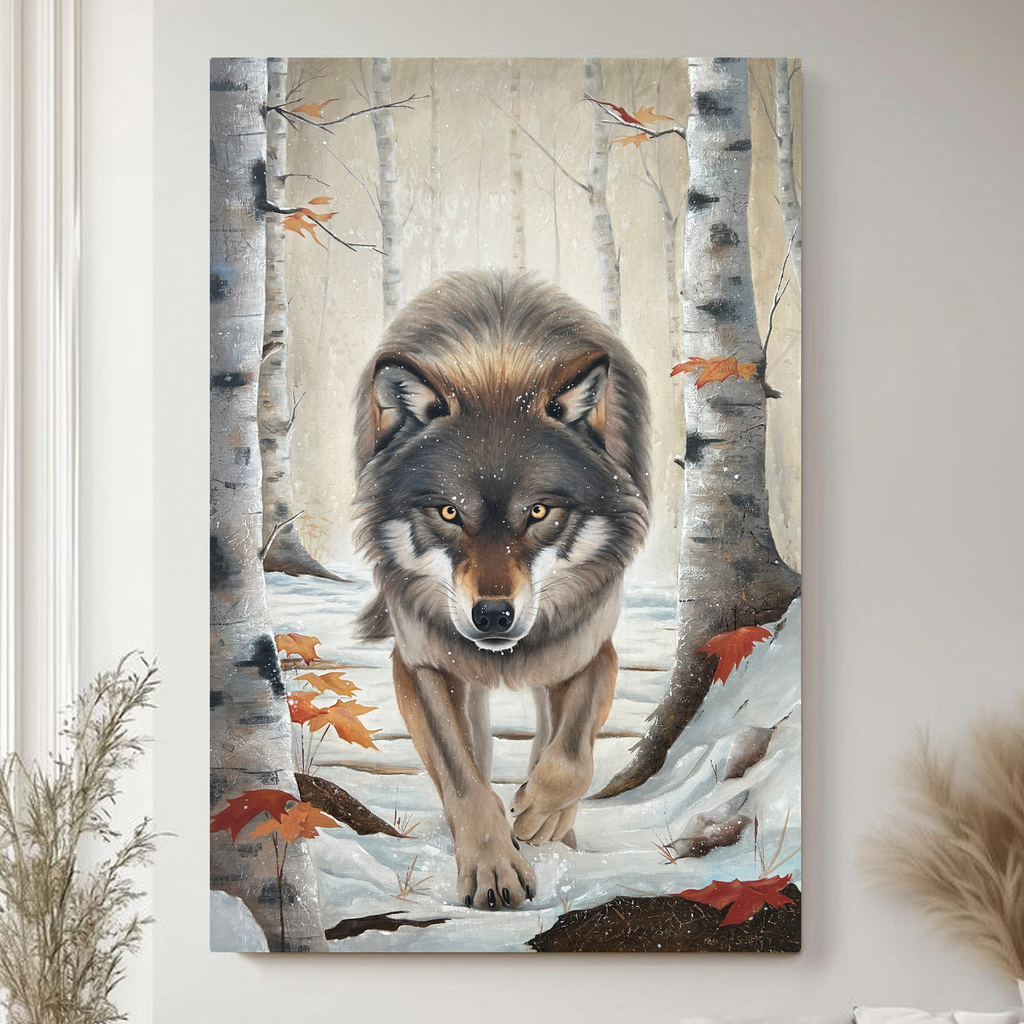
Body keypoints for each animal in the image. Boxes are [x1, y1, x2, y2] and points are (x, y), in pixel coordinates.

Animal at [353, 271, 650, 910]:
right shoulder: (419, 662)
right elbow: (461, 777)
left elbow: (569, 756)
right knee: (478, 752)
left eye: (538, 512)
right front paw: (492, 867)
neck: (496, 364)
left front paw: (541, 817)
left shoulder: (589, 648)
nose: (492, 615)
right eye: (448, 512)